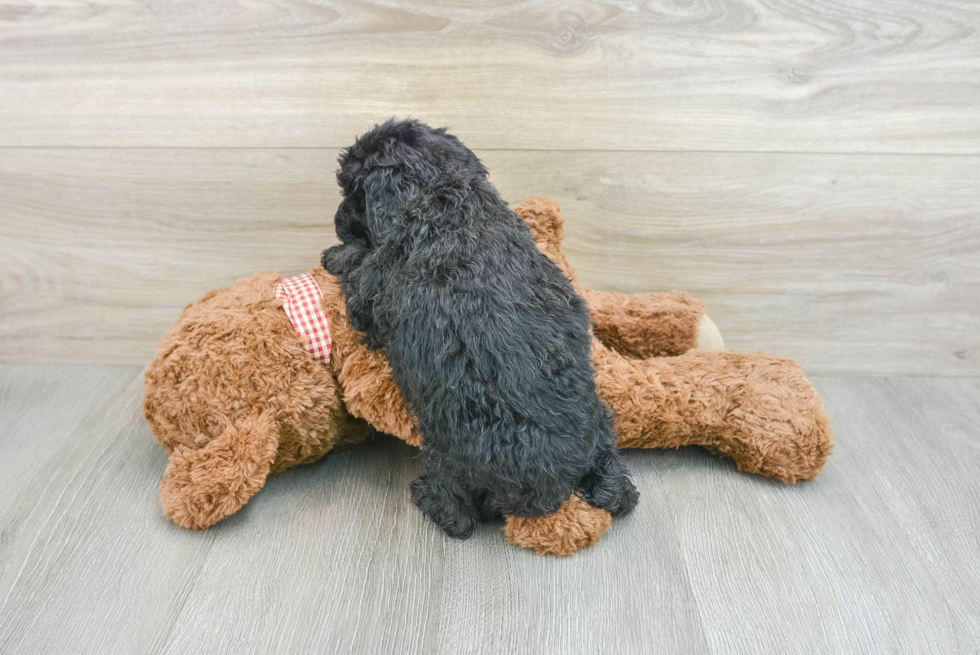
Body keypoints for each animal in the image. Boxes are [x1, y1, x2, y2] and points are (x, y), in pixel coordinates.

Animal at [326, 120, 640, 540]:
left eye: (352, 192)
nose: (336, 219)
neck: (441, 190)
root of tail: (550, 485)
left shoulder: (371, 290)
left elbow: (358, 269)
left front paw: (336, 254)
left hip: (447, 455)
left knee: (458, 516)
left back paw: (428, 498)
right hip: (602, 426)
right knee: (616, 487)